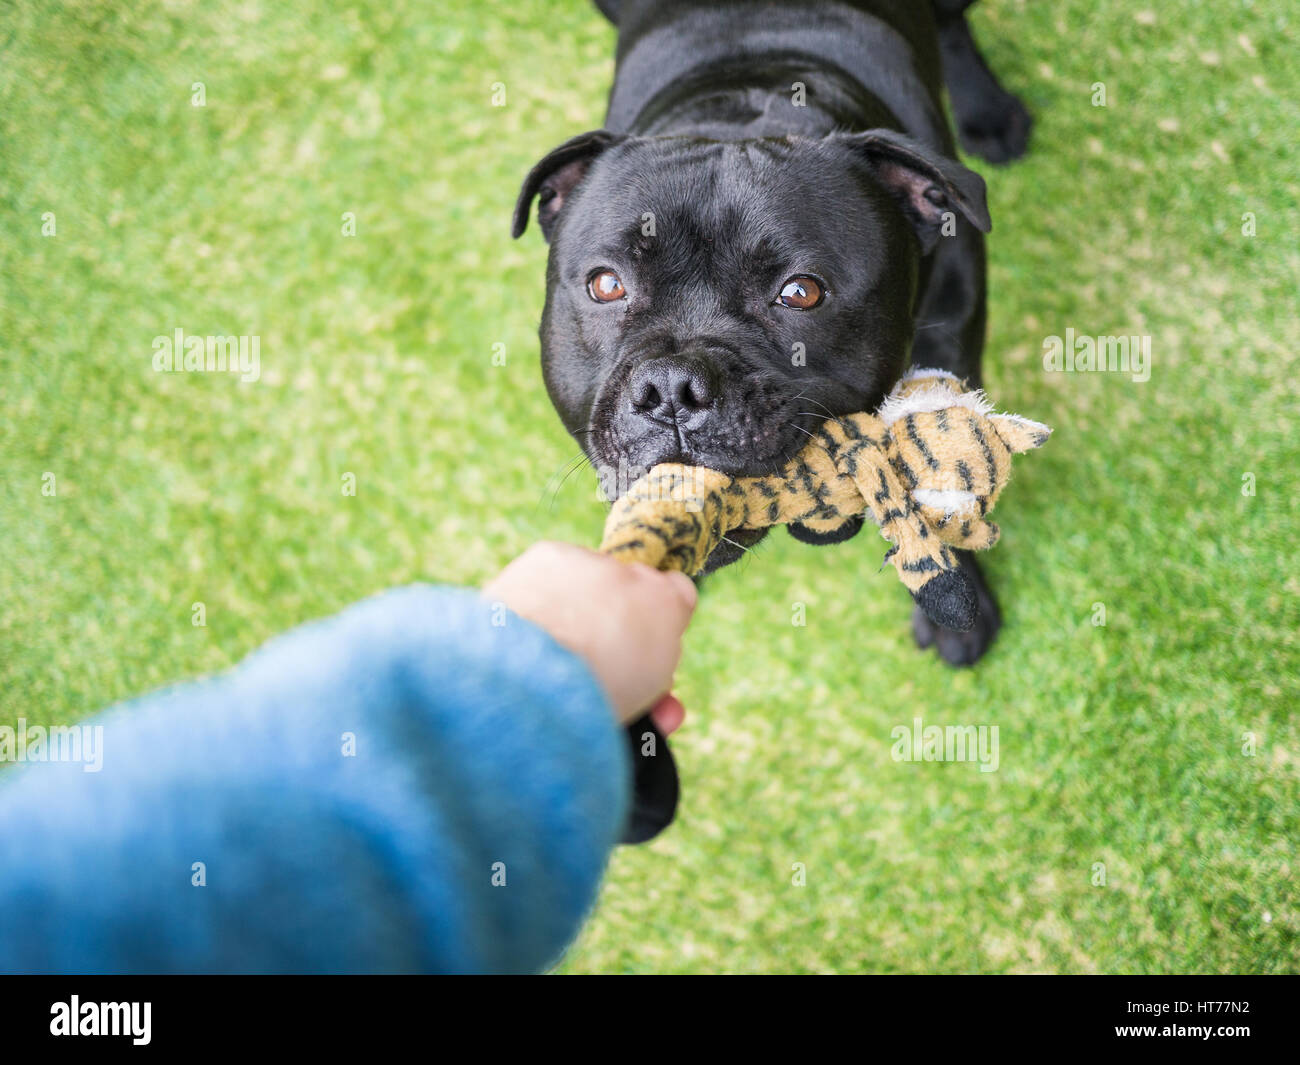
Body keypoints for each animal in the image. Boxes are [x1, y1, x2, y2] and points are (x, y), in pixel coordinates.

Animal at [512, 0, 1029, 665]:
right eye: (606, 285)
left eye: (801, 292)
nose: (672, 388)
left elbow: (942, 469)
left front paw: (957, 607)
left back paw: (987, 112)